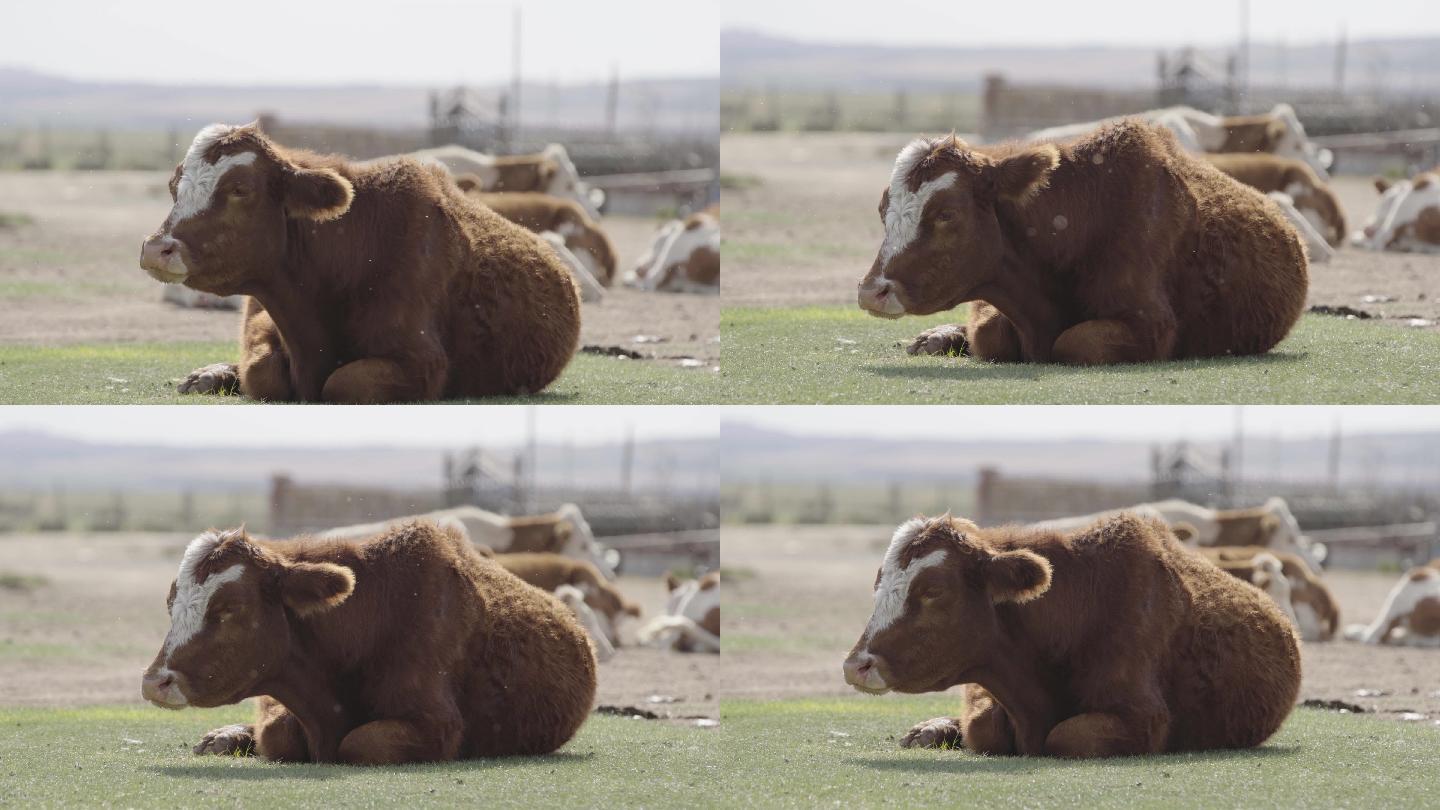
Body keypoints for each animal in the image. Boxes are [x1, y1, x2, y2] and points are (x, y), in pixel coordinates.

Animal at [136, 518, 596, 760]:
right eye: (171, 604)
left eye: (230, 609)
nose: (155, 681)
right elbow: (278, 733)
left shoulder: (438, 725)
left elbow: (357, 743)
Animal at [141, 123, 578, 400]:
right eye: (174, 187)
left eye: (239, 189)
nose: (156, 248)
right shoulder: (264, 323)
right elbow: (262, 372)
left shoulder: (422, 362)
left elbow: (343, 384)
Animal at [840, 513, 1307, 755]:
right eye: (879, 584)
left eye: (933, 591)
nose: (855, 665)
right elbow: (985, 727)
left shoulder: (1144, 718)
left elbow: (1065, 736)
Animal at [858, 121, 1313, 364]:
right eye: (882, 210)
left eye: (946, 214)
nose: (870, 291)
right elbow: (988, 333)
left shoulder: (1152, 326)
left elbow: (1074, 341)